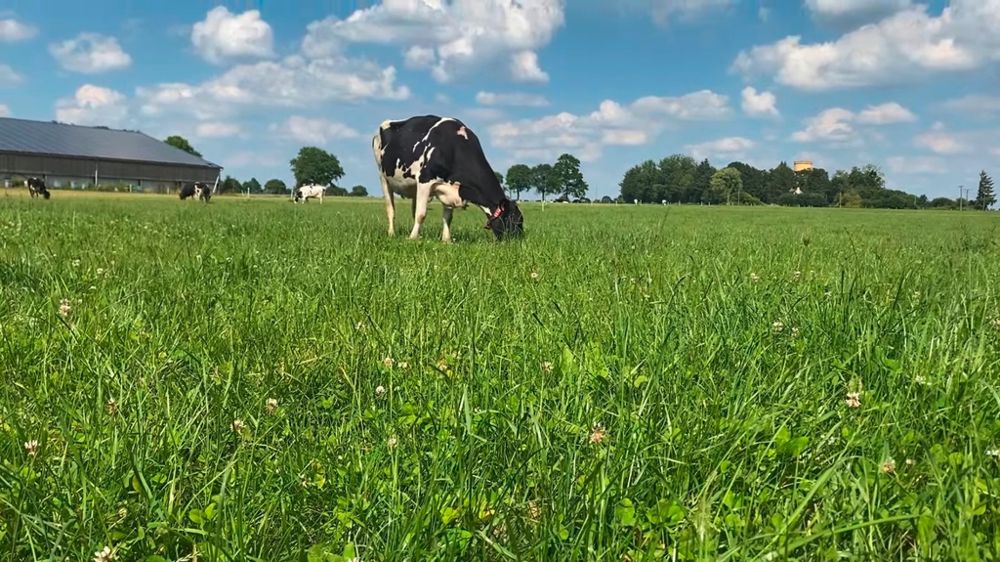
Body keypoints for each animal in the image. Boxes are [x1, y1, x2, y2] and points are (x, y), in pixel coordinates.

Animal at [372, 115, 523, 242]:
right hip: (383, 176)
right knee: (391, 209)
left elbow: (447, 217)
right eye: (514, 220)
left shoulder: (449, 187)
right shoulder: (425, 180)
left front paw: (446, 240)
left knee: (413, 210)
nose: (518, 242)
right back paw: (392, 233)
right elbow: (421, 214)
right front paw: (411, 238)